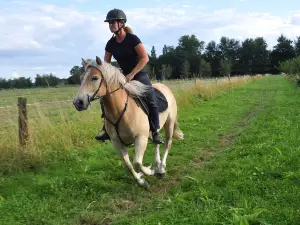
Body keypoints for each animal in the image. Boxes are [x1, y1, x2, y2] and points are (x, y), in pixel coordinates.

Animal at [74, 55, 184, 188]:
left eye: (95, 78)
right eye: (81, 78)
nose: (78, 102)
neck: (121, 110)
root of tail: (165, 88)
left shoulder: (140, 138)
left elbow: (137, 163)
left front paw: (149, 171)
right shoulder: (117, 142)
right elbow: (128, 165)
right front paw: (141, 180)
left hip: (169, 123)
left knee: (168, 142)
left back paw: (161, 169)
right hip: (154, 130)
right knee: (157, 142)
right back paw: (157, 165)